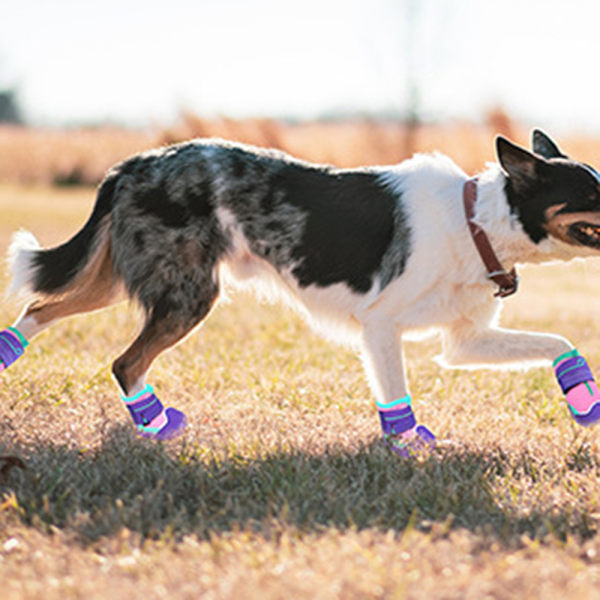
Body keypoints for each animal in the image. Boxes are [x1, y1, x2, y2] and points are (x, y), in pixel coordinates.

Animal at [1, 129, 600, 452]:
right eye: (591, 191)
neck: (475, 221)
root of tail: (134, 162)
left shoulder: (464, 343)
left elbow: (562, 344)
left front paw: (582, 398)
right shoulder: (380, 327)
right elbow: (397, 399)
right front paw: (407, 446)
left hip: (121, 278)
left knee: (40, 305)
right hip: (187, 295)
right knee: (124, 361)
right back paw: (155, 425)